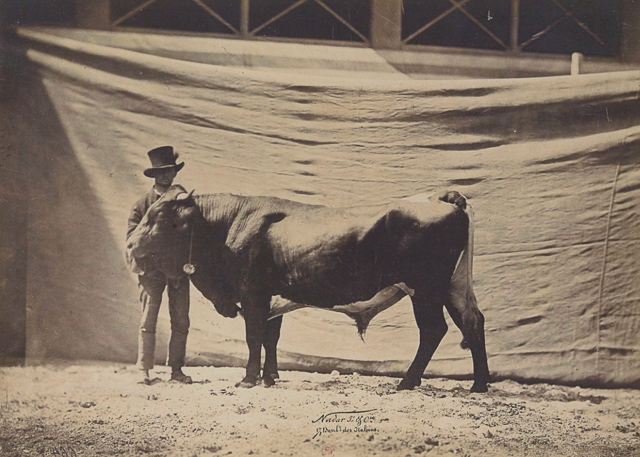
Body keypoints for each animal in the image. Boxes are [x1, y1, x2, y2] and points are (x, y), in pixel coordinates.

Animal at [127, 185, 492, 392]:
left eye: (162, 218)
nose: (130, 245)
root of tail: (440, 198)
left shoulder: (252, 294)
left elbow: (254, 337)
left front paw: (248, 379)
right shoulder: (272, 299)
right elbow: (271, 338)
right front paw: (270, 377)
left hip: (425, 289)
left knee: (434, 330)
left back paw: (407, 381)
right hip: (454, 286)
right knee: (473, 322)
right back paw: (479, 384)